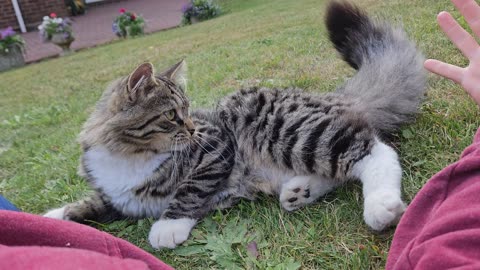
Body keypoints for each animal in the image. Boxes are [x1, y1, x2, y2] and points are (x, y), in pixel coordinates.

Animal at [45, 2, 426, 249]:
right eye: (171, 115)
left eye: (187, 111)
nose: (191, 130)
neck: (130, 155)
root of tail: (333, 96)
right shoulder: (115, 195)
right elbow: (88, 205)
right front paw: (54, 215)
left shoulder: (215, 146)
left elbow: (190, 190)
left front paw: (167, 226)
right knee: (340, 169)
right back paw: (299, 192)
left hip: (286, 130)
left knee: (375, 151)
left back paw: (380, 206)